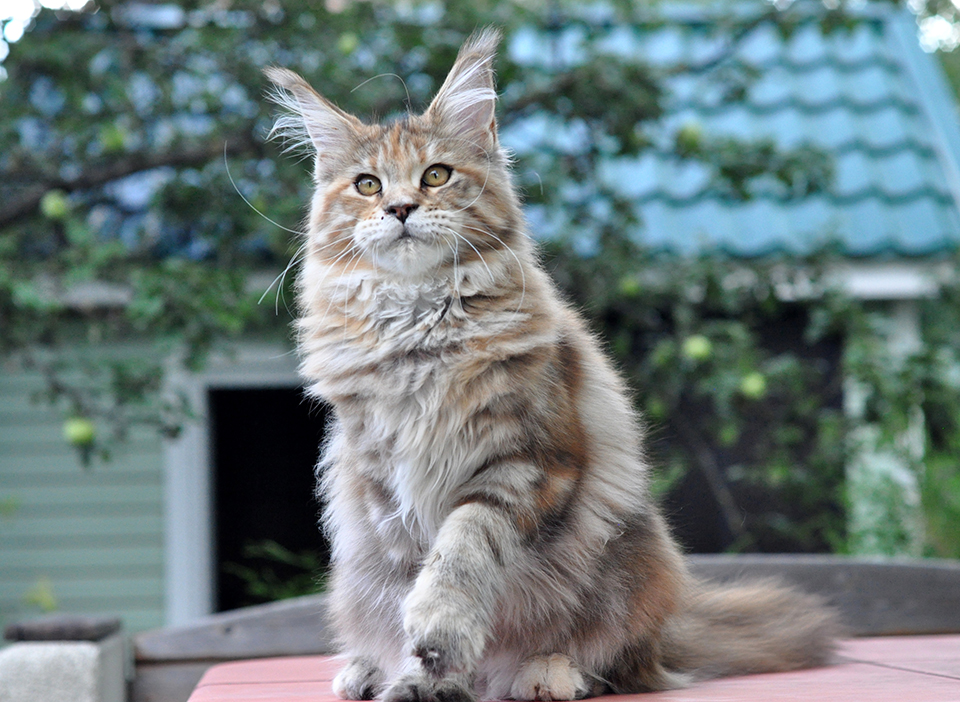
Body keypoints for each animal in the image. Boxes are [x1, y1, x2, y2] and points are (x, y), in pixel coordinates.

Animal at [264, 27, 840, 702]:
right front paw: (416, 674)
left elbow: (459, 553)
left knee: (614, 661)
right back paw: (363, 671)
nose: (401, 208)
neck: (419, 330)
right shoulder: (385, 488)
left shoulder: (526, 461)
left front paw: (440, 641)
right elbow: (408, 585)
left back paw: (545, 672)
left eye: (436, 175)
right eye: (367, 186)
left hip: (629, 569)